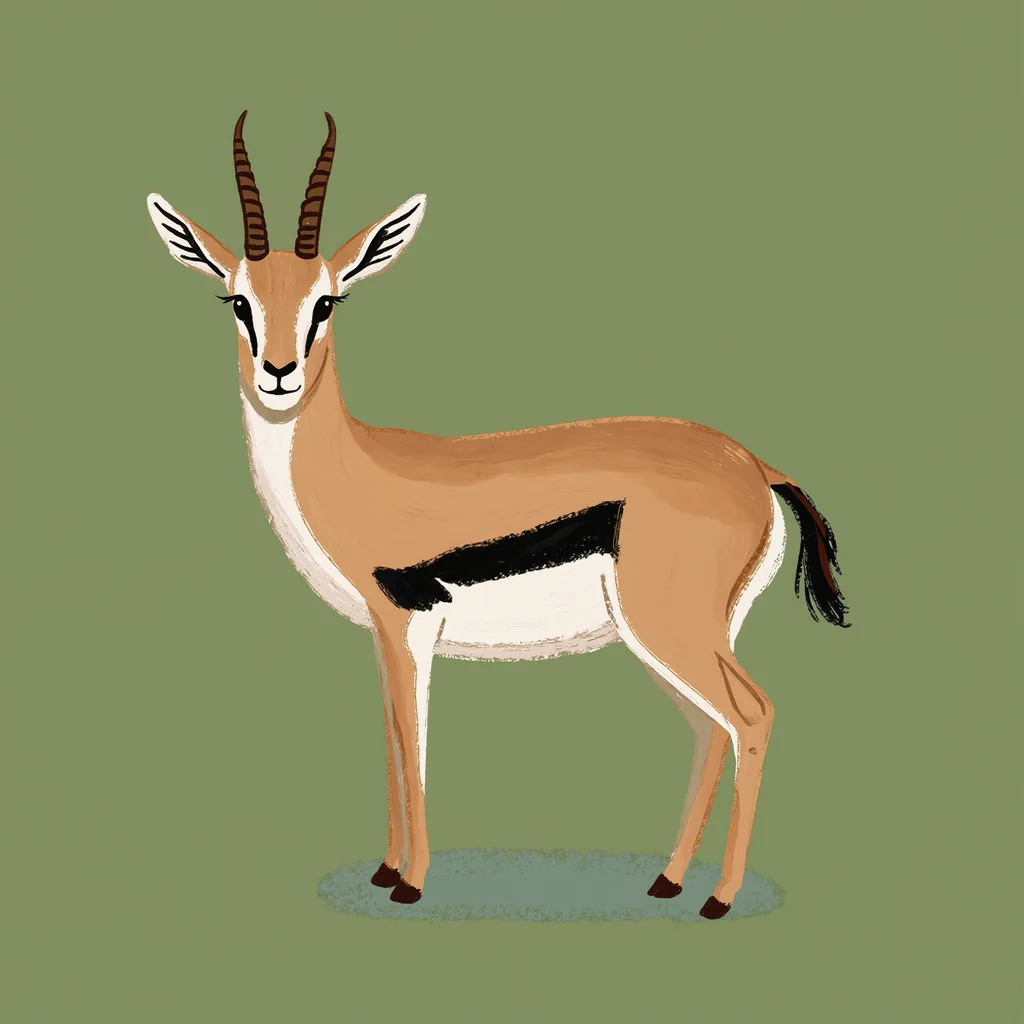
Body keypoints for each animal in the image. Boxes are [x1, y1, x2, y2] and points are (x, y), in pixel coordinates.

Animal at [146, 111, 849, 918]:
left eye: (326, 301)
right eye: (238, 299)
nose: (279, 374)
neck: (353, 467)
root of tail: (757, 467)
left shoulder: (407, 622)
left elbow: (413, 741)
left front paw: (411, 884)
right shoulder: (380, 635)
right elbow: (390, 739)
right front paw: (386, 870)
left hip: (673, 630)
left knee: (752, 715)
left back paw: (719, 899)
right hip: (677, 637)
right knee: (712, 728)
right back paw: (669, 881)